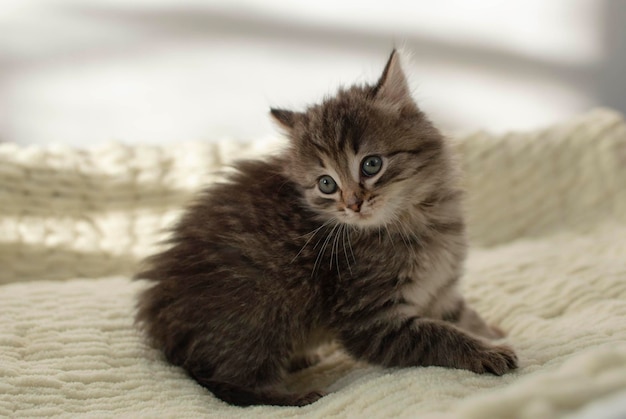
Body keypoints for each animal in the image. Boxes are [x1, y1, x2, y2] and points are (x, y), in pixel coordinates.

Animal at [135, 49, 516, 406]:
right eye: (326, 184)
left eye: (371, 164)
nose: (353, 203)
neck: (417, 221)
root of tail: (160, 326)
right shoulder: (368, 319)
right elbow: (437, 336)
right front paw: (486, 352)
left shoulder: (440, 289)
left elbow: (461, 316)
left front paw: (492, 332)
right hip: (260, 312)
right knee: (225, 384)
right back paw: (293, 396)